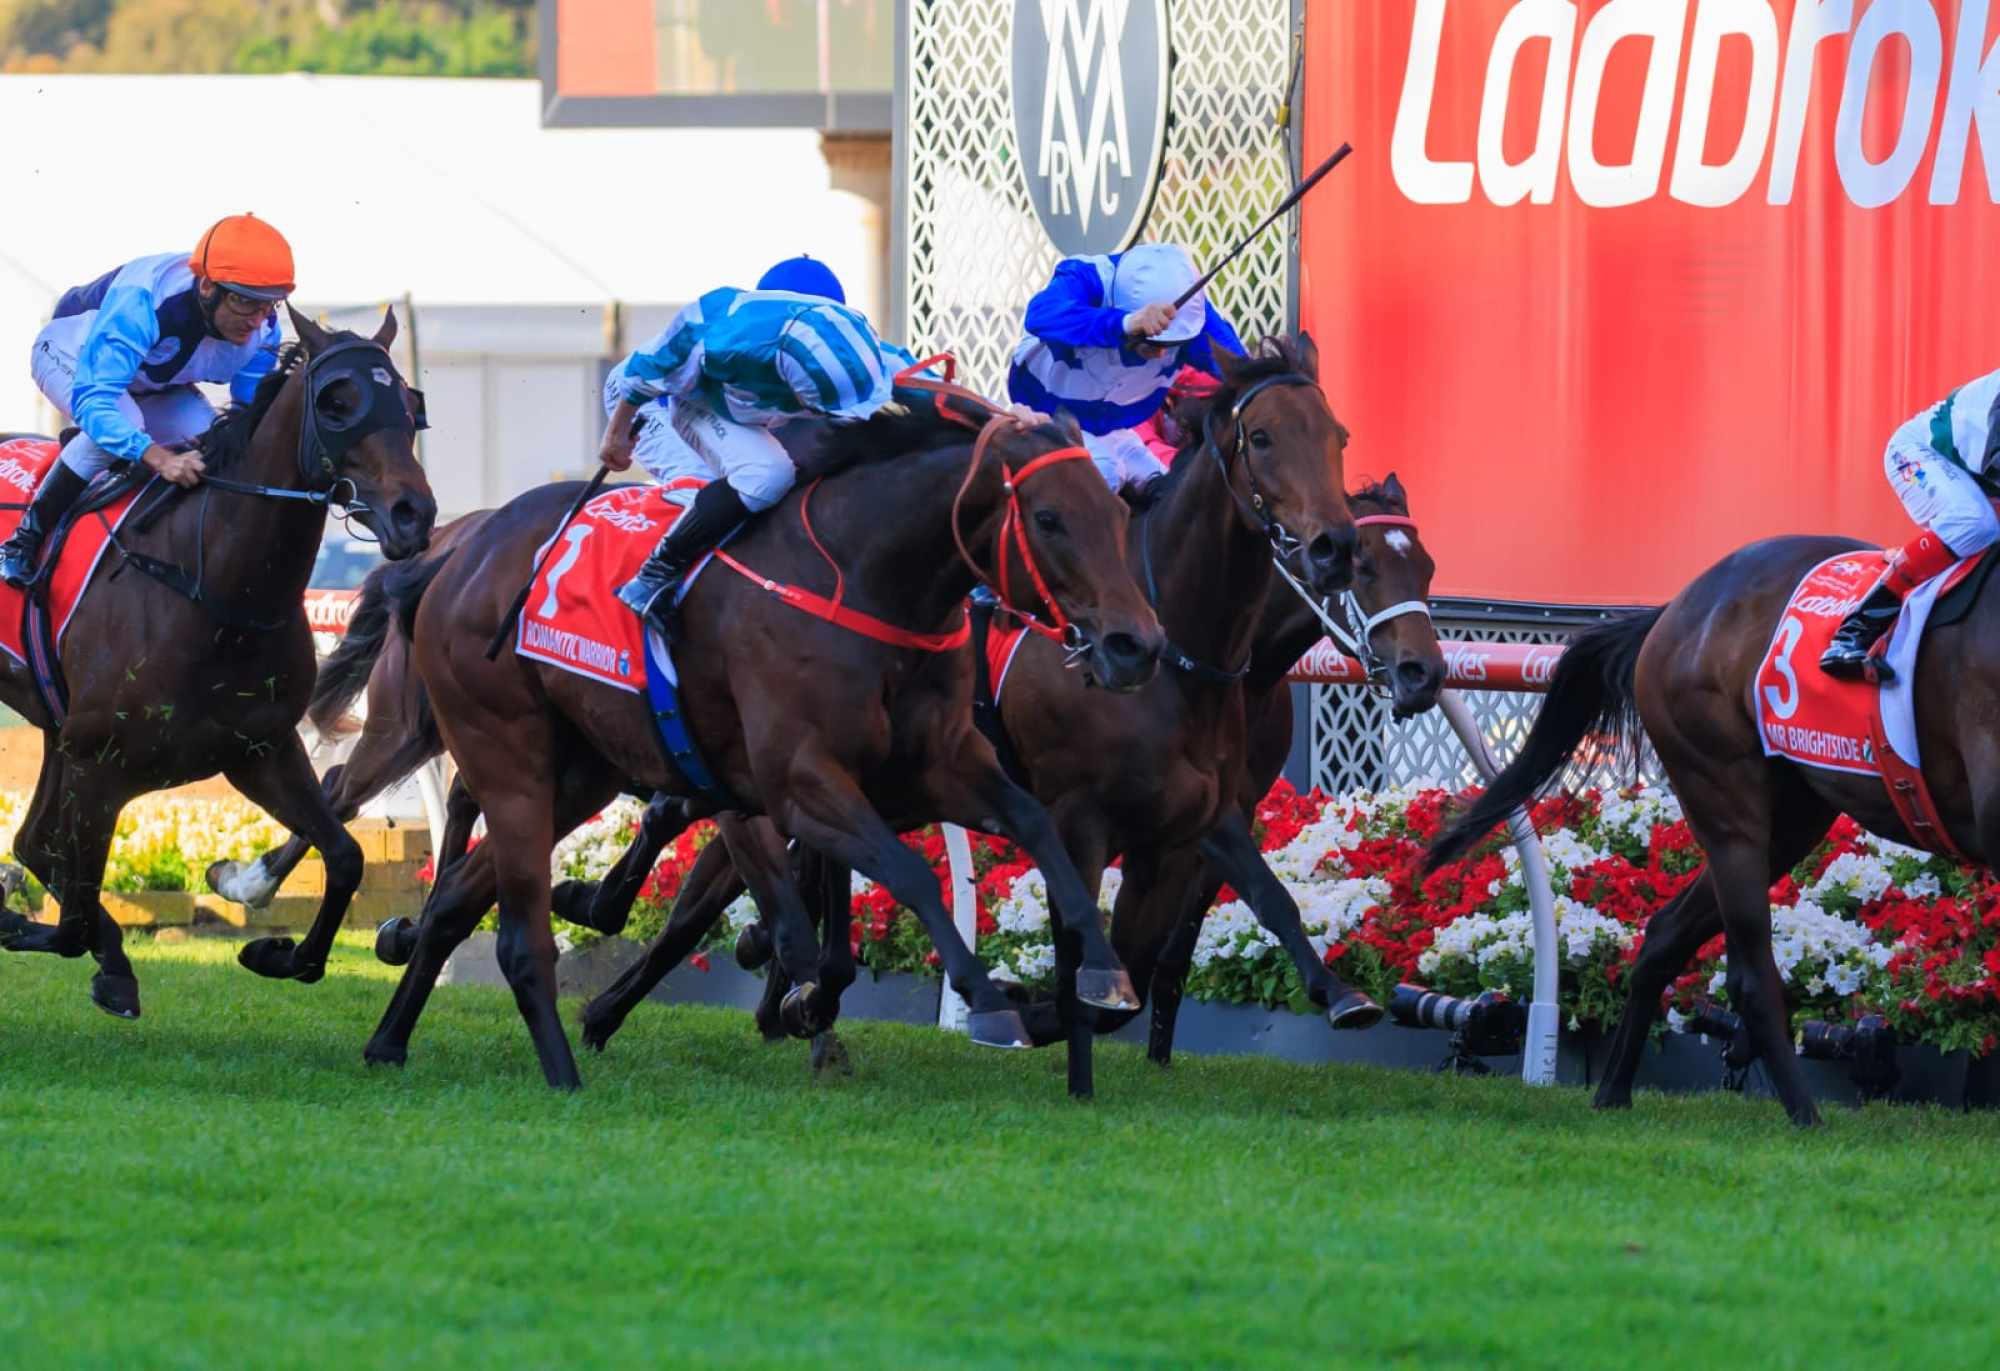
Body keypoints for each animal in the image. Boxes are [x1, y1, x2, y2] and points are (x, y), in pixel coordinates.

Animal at [0, 311, 436, 1019]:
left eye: (408, 402)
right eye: (337, 402)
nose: (413, 514)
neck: (214, 591)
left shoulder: (261, 750)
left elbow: (344, 857)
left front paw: (277, 951)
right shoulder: (98, 765)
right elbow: (71, 922)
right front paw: (30, 928)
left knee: (33, 842)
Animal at [362, 391, 1168, 1087]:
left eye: (1115, 510)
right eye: (1049, 518)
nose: (1136, 646)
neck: (864, 581)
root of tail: (456, 552)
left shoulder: (938, 762)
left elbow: (1034, 823)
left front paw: (1103, 969)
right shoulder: (795, 781)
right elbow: (906, 872)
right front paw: (987, 1002)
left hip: (577, 772)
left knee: (459, 894)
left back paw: (389, 1038)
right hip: (507, 752)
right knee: (495, 904)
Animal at [1424, 535, 1984, 1127]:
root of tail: (1673, 609)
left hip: (1794, 814)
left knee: (1666, 933)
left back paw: (1614, 1089)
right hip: (1725, 794)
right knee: (1747, 975)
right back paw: (1804, 1113)